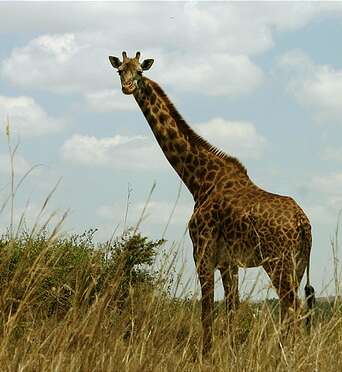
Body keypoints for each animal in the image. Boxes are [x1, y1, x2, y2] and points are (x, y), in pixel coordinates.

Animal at [109, 51, 316, 354]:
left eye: (139, 72)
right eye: (120, 70)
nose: (126, 87)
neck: (199, 181)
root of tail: (304, 224)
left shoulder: (203, 252)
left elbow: (206, 309)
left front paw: (205, 354)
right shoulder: (229, 261)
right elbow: (232, 307)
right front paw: (229, 352)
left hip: (277, 261)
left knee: (292, 305)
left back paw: (284, 354)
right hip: (298, 263)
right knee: (293, 306)